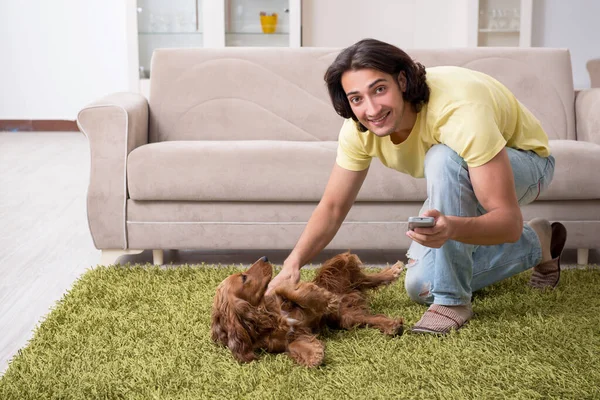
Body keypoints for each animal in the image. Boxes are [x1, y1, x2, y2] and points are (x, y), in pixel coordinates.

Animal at [211, 252, 404, 368]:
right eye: (243, 277)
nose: (265, 257)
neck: (265, 317)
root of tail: (347, 293)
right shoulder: (290, 338)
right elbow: (295, 346)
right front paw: (314, 354)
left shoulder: (282, 294)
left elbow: (293, 292)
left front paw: (323, 298)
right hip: (347, 317)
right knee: (369, 311)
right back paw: (391, 325)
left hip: (334, 268)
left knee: (363, 275)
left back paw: (393, 271)